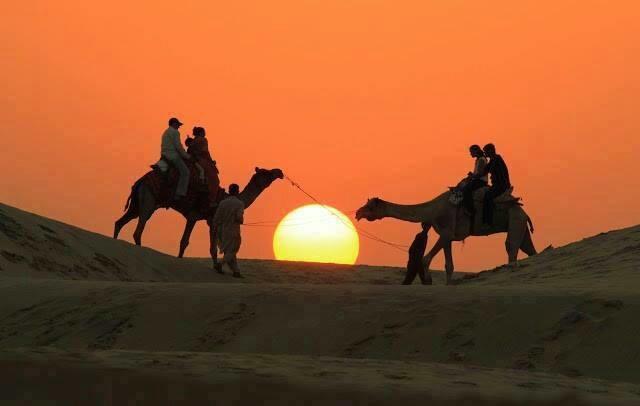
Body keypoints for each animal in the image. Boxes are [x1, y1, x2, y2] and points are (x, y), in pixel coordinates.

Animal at [113, 167, 282, 268]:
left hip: (136, 204)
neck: (223, 197)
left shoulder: (205, 220)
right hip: (148, 201)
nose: (278, 171)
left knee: (119, 222)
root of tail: (139, 182)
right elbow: (188, 243)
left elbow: (207, 247)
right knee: (139, 228)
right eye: (266, 173)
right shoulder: (198, 217)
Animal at [356, 190, 536, 286]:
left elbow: (427, 259)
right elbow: (448, 264)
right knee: (528, 249)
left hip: (515, 219)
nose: (358, 213)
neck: (433, 209)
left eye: (370, 206)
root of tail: (524, 212)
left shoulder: (446, 232)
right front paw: (444, 283)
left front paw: (430, 280)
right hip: (521, 225)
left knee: (511, 246)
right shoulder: (448, 237)